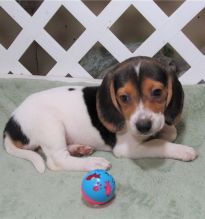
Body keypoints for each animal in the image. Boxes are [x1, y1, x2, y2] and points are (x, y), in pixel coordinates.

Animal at [3, 56, 197, 173]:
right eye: (124, 97)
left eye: (157, 92)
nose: (143, 126)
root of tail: (11, 124)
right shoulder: (127, 148)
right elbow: (159, 144)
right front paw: (183, 150)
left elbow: (171, 132)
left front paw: (163, 131)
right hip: (51, 126)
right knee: (56, 160)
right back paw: (93, 163)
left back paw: (78, 148)